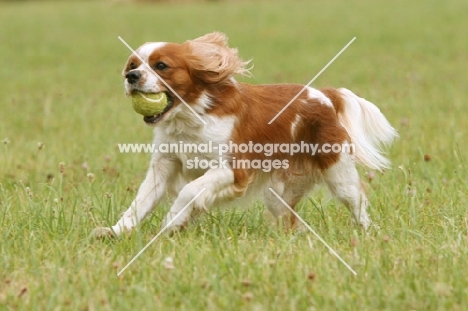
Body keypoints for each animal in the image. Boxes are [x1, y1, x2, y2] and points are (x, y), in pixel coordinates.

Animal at [93, 31, 396, 238]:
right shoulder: (164, 166)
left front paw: (173, 221)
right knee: (290, 220)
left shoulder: (232, 169)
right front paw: (116, 231)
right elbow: (139, 202)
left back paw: (369, 234)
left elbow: (190, 190)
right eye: (132, 64)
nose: (131, 76)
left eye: (161, 66)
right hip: (277, 194)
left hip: (339, 175)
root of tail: (324, 95)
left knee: (358, 205)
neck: (191, 118)